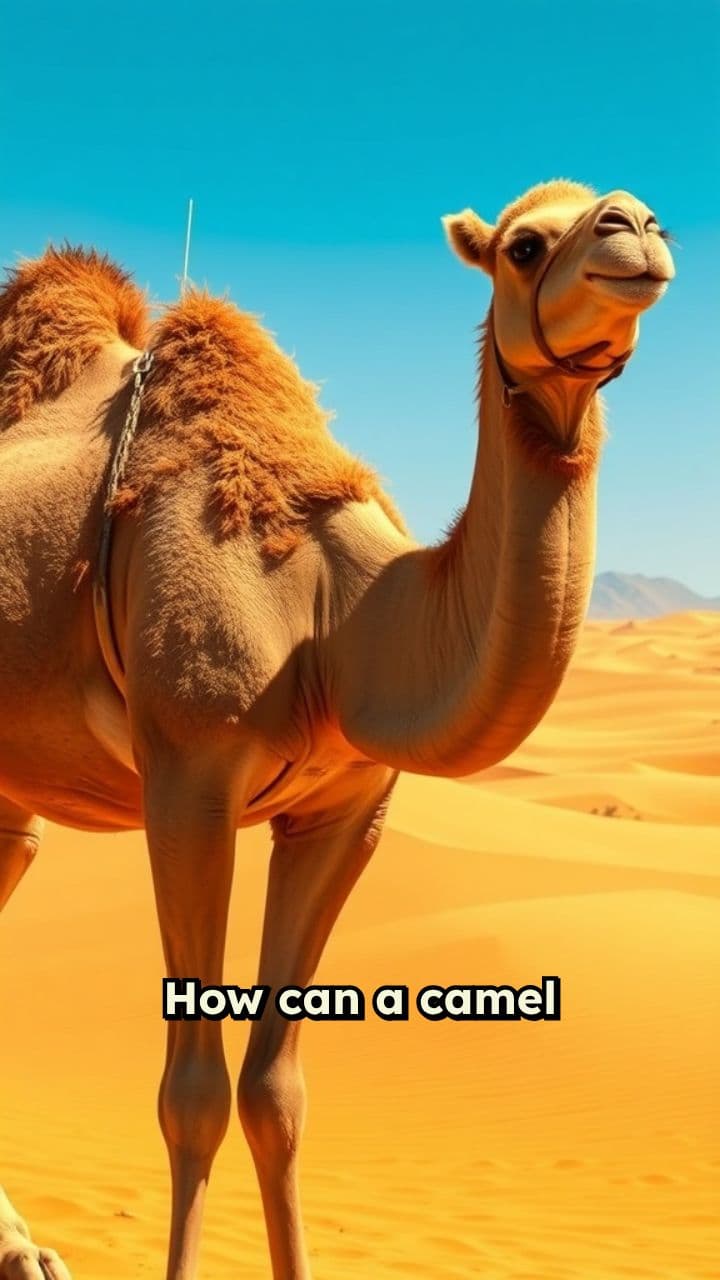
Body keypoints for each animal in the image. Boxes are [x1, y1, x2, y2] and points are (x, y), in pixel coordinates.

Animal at [0, 178, 674, 1279]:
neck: (333, 623)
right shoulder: (187, 778)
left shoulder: (347, 807)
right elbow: (192, 1094)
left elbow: (276, 1095)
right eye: (525, 246)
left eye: (630, 213)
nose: (637, 226)